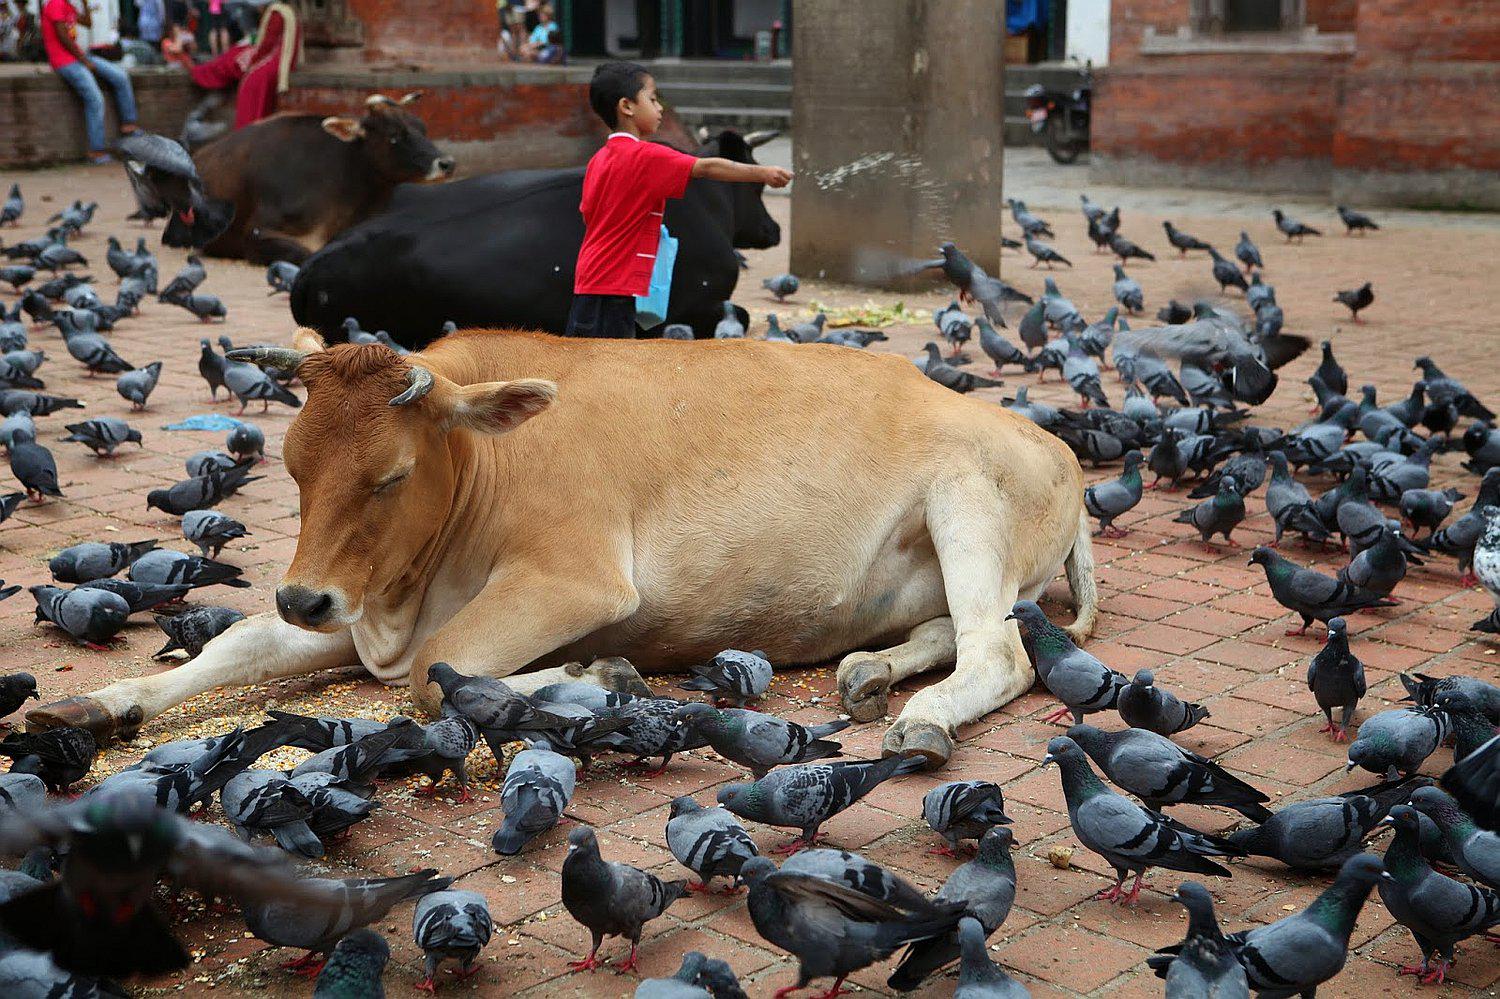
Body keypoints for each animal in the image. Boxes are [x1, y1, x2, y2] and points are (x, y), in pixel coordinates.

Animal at [28, 329, 1098, 769]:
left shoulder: (571, 579)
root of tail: (1056, 444)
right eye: (290, 466)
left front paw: (602, 674)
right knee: (953, 633)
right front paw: (103, 704)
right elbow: (236, 644)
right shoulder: (361, 600)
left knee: (997, 650)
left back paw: (922, 718)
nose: (303, 598)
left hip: (966, 500)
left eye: (389, 476)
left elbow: (437, 670)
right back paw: (874, 670)